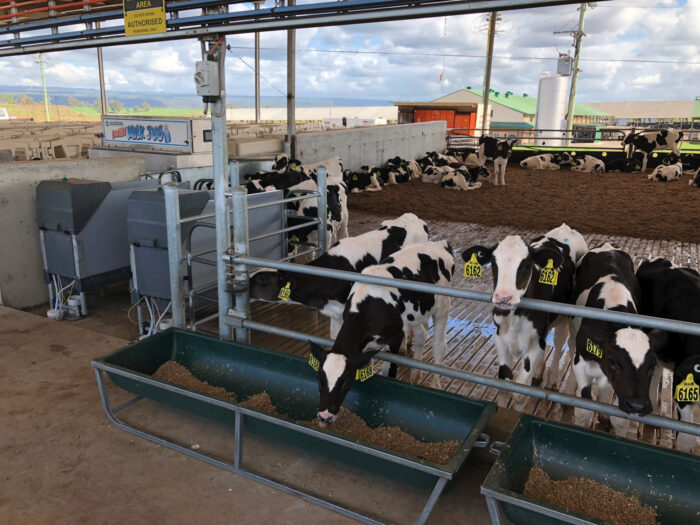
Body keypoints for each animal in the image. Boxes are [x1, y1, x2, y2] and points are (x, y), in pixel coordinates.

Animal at [310, 239, 454, 424]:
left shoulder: (395, 338)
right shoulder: (366, 345)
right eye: (319, 379)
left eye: (346, 382)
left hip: (442, 307)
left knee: (439, 346)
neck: (368, 304)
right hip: (416, 313)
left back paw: (436, 384)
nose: (324, 416)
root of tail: (440, 244)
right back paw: (415, 376)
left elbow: (389, 372)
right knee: (421, 335)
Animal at [460, 223, 584, 386]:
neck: (514, 317)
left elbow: (521, 385)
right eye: (493, 264)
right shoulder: (501, 339)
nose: (503, 297)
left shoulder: (535, 345)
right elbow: (505, 378)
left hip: (565, 318)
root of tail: (565, 227)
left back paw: (553, 380)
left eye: (526, 264)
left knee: (559, 344)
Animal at [572, 245, 664, 434]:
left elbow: (620, 420)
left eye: (652, 366)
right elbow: (583, 410)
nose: (637, 406)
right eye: (613, 361)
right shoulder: (580, 362)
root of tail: (607, 246)